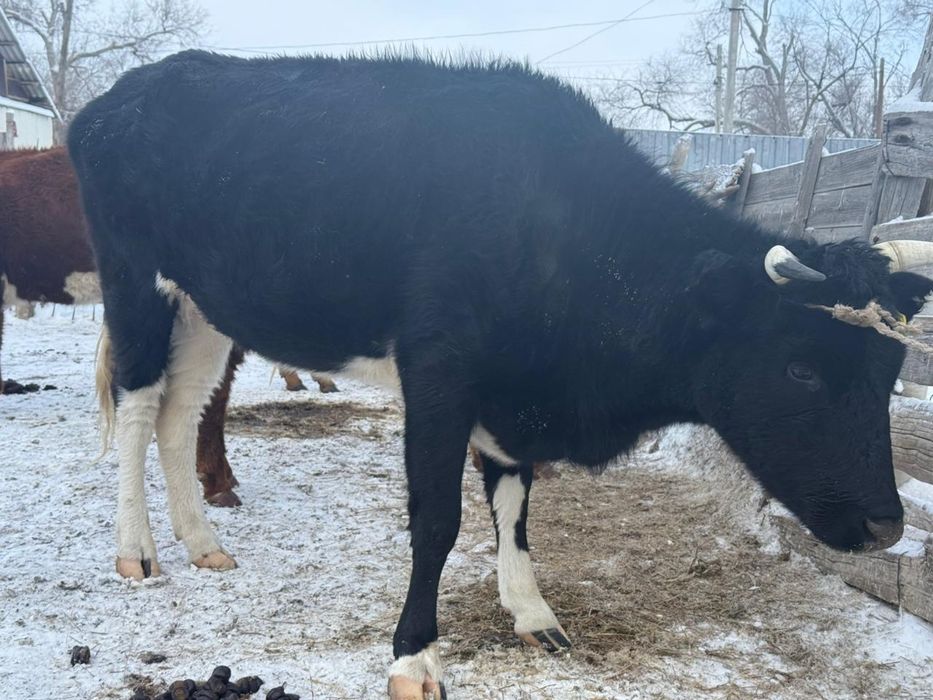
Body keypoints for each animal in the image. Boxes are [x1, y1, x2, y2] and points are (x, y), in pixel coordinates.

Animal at [67, 51, 933, 699]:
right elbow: (437, 522)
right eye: (799, 369)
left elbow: (514, 509)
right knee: (140, 408)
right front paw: (413, 659)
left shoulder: (513, 399)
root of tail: (120, 97)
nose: (886, 527)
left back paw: (203, 543)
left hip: (208, 310)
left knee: (181, 414)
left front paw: (531, 612)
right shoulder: (439, 372)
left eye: (890, 369)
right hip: (137, 282)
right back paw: (137, 552)